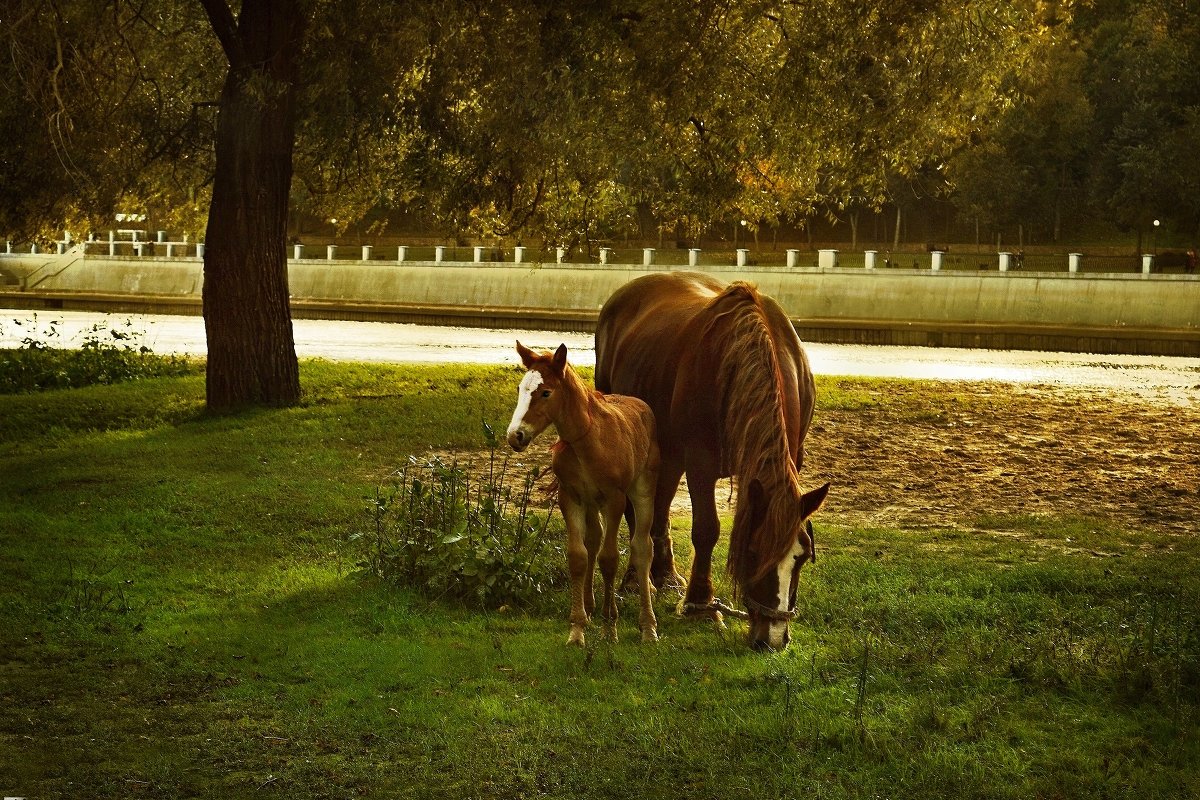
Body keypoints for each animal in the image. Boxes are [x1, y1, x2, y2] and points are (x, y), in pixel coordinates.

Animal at [504, 340, 662, 647]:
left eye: (545, 392)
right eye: (520, 389)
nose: (515, 436)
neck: (587, 440)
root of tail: (642, 405)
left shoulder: (615, 498)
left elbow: (609, 559)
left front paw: (610, 628)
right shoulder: (571, 497)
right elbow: (578, 556)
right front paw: (577, 629)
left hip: (643, 490)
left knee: (641, 548)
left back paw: (648, 627)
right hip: (591, 502)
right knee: (593, 540)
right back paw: (590, 607)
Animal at [595, 271, 830, 652]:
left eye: (802, 557)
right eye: (753, 552)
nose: (773, 638)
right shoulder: (700, 465)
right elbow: (706, 530)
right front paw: (702, 605)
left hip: (669, 452)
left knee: (659, 506)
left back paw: (665, 574)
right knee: (637, 513)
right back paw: (634, 579)